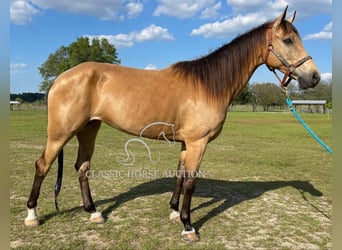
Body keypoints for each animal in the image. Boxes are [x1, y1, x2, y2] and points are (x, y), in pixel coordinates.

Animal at [24, 6, 320, 242]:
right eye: (288, 40)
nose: (314, 77)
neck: (208, 85)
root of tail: (61, 77)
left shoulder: (187, 143)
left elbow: (179, 176)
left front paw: (175, 212)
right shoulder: (198, 142)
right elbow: (190, 181)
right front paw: (189, 227)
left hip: (89, 128)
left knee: (82, 167)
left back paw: (94, 212)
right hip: (61, 132)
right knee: (43, 165)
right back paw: (32, 214)